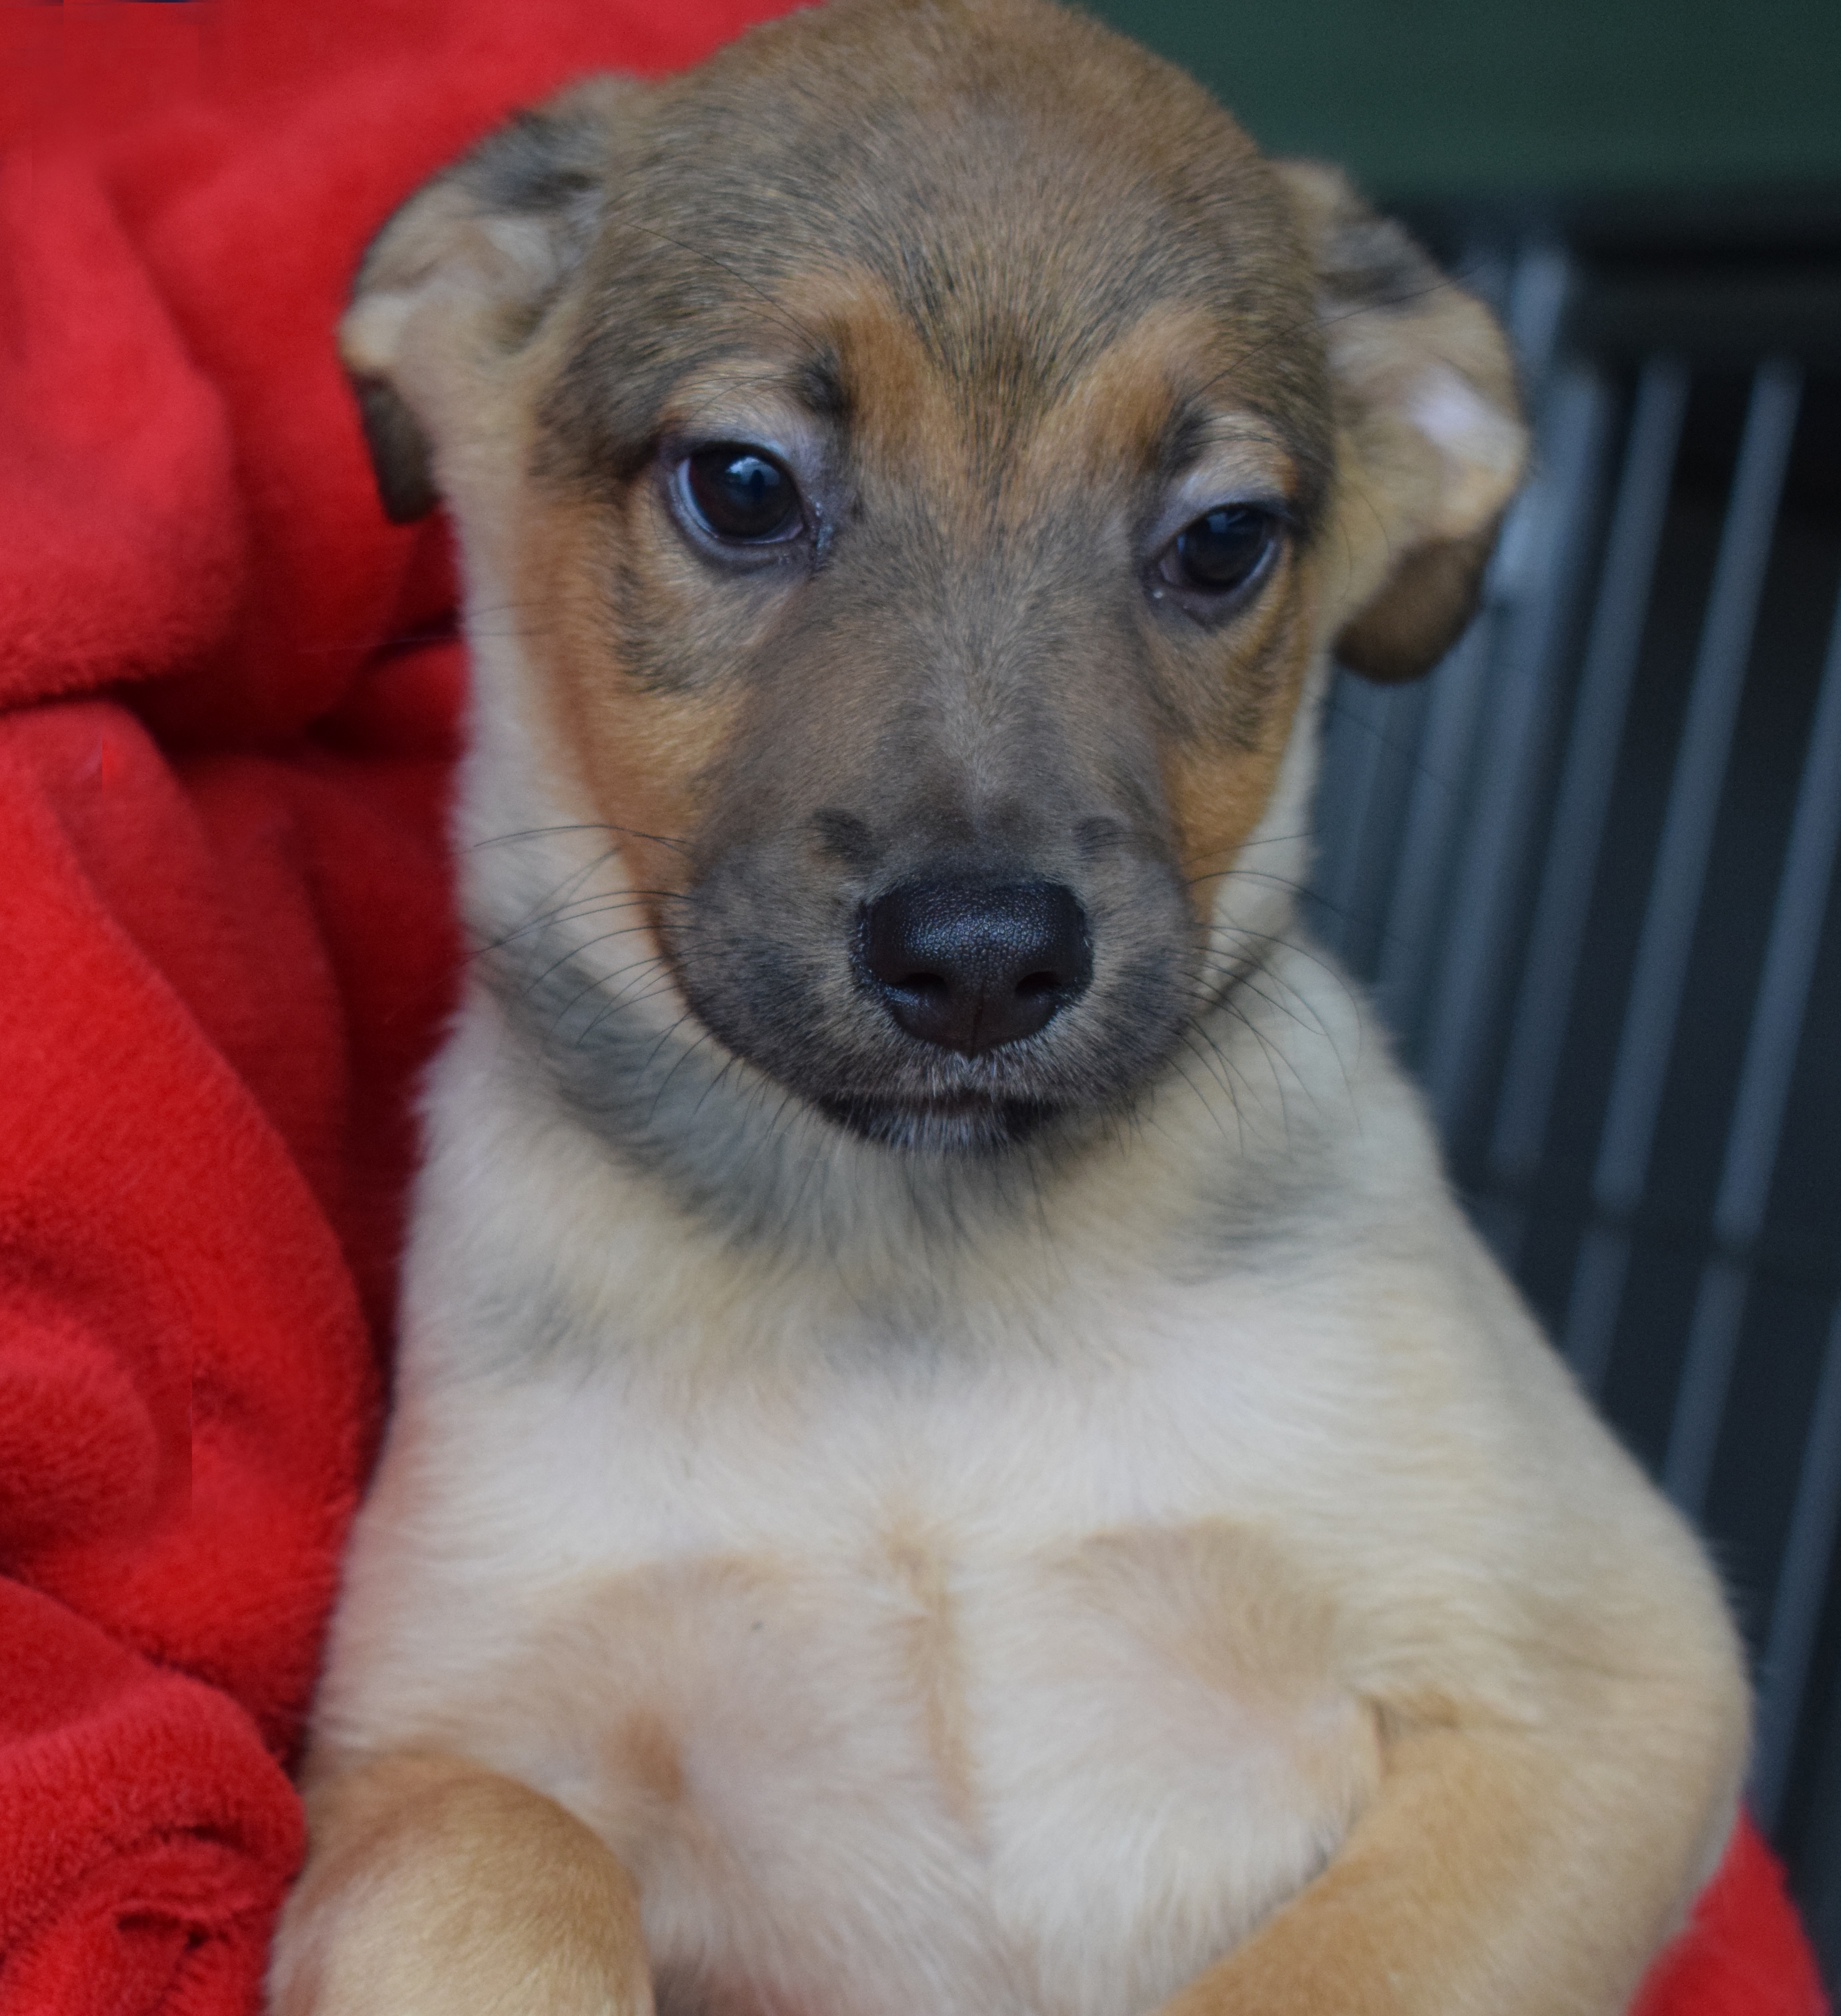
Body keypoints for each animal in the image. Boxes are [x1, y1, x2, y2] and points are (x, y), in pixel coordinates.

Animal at [266, 4, 1742, 2016]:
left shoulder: (1597, 1683)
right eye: (742, 484)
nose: (981, 960)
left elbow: (1318, 1978)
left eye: (1223, 539)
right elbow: (501, 1850)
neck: (916, 1280)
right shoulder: (422, 1745)